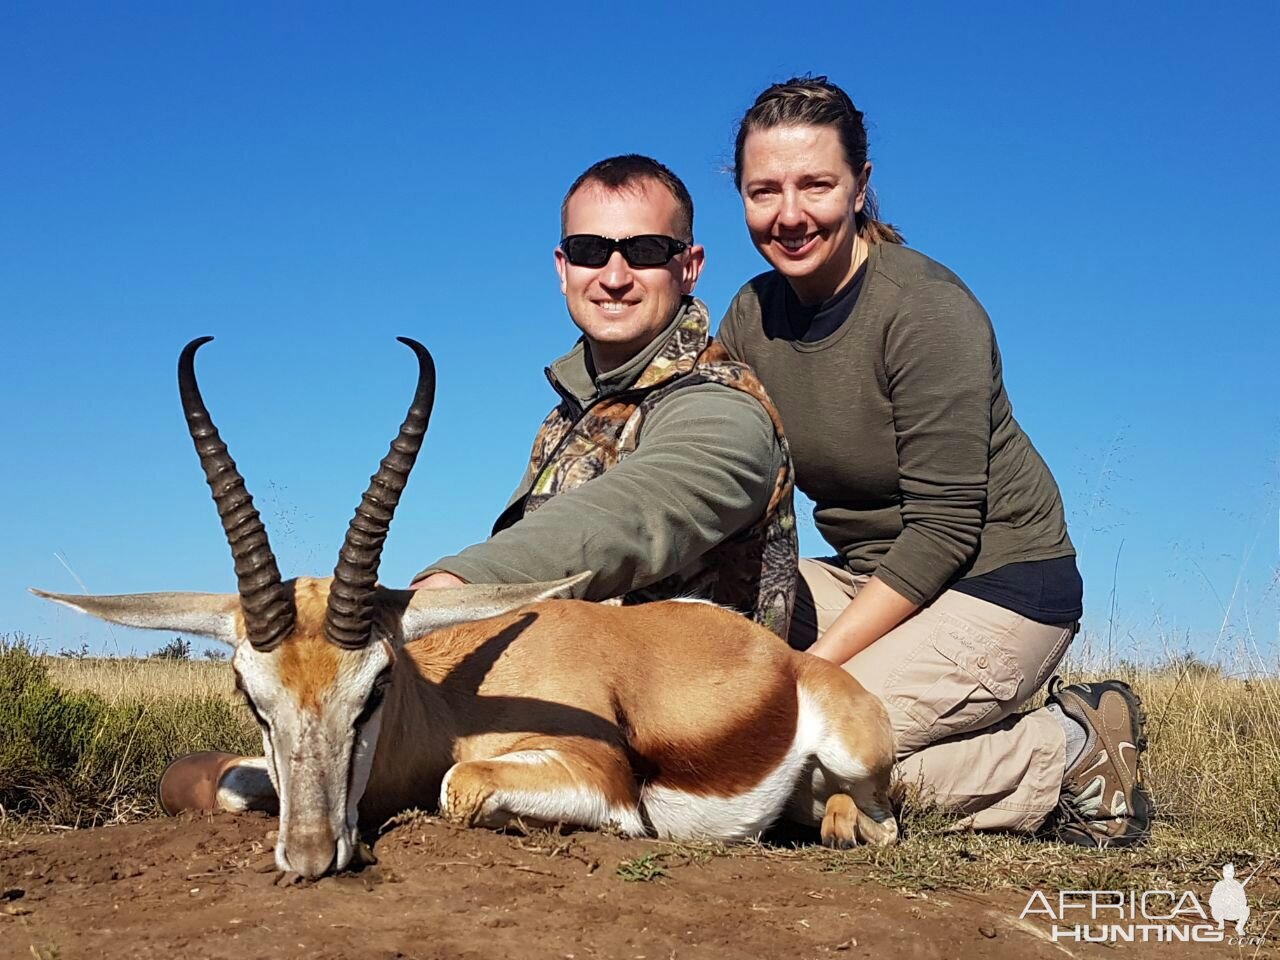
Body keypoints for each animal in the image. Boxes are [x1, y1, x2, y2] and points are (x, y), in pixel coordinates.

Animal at [30, 335, 896, 880]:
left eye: (375, 686)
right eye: (249, 694)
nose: (309, 855)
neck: (447, 703)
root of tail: (785, 660)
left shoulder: (593, 775)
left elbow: (460, 787)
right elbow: (210, 782)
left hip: (861, 759)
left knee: (880, 818)